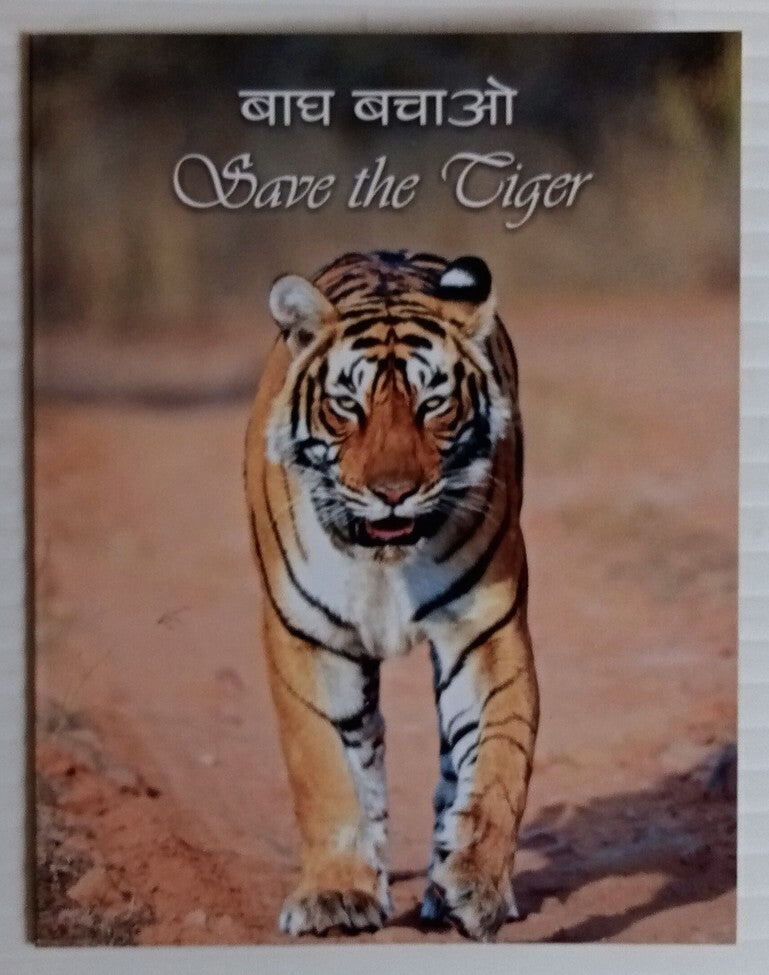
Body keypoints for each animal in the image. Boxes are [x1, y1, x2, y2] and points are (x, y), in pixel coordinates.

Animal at [244, 249, 538, 941]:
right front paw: (335, 894)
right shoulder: (308, 638)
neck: (385, 557)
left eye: (434, 403)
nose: (393, 492)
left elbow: (499, 763)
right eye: (347, 404)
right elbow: (324, 770)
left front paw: (476, 884)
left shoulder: (485, 630)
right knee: (364, 749)